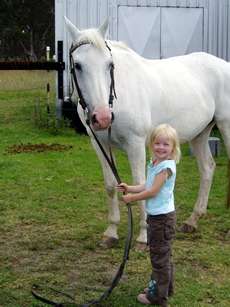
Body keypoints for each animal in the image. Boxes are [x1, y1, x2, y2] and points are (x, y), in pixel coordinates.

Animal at [64, 16, 230, 248]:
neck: (117, 95)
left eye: (109, 64)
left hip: (225, 125)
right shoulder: (99, 144)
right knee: (207, 168)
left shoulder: (135, 144)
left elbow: (140, 184)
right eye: (78, 65)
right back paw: (192, 220)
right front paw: (111, 232)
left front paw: (143, 237)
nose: (103, 117)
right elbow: (110, 185)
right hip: (200, 134)